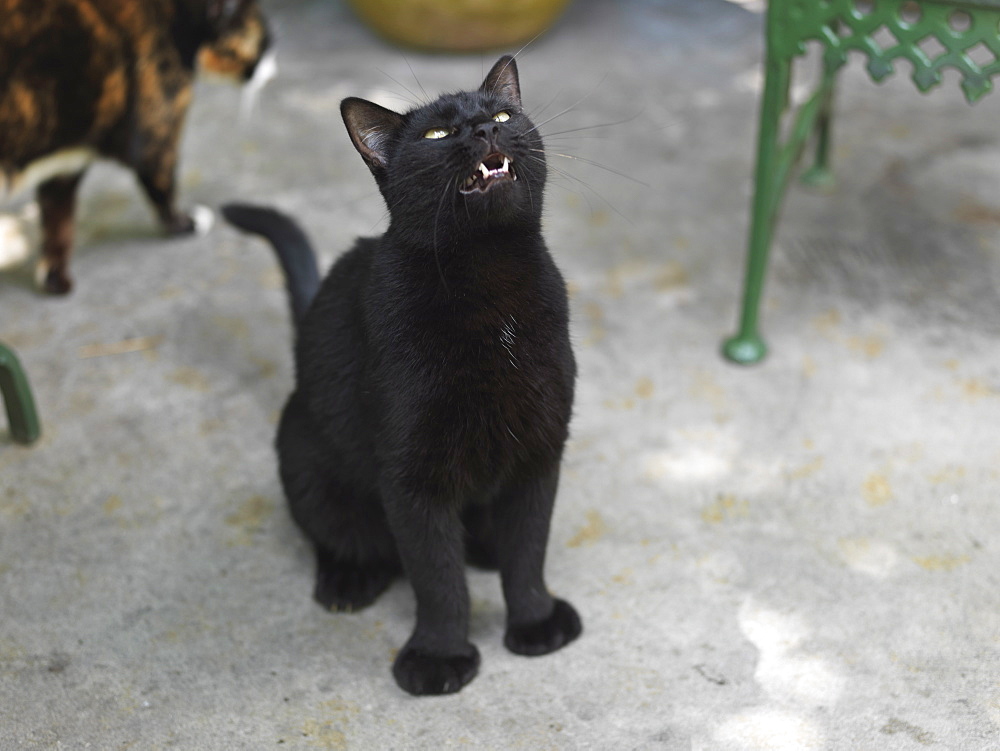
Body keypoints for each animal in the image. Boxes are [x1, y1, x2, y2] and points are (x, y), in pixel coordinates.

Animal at [0, 0, 274, 294]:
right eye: (267, 42)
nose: (273, 68)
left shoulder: (65, 166)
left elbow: (59, 221)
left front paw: (54, 277)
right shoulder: (157, 136)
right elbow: (164, 190)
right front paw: (185, 224)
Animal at [219, 55, 580, 696]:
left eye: (502, 115)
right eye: (437, 135)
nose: (481, 130)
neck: (491, 291)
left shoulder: (540, 449)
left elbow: (528, 550)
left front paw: (536, 623)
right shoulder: (412, 476)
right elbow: (436, 577)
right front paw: (438, 657)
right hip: (303, 453)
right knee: (334, 532)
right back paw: (347, 580)